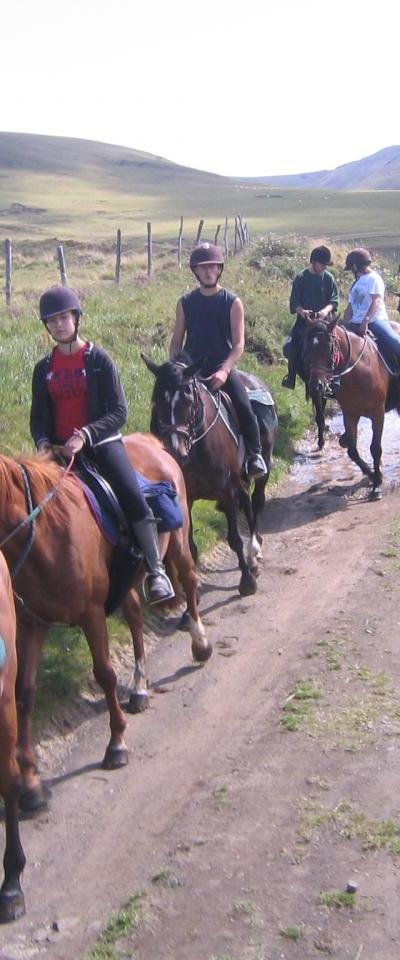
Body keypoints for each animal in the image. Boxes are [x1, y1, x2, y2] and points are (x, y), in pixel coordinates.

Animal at [0, 438, 211, 812]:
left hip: (179, 543)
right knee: (136, 616)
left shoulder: (91, 615)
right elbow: (24, 694)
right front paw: (31, 784)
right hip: (126, 581)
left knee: (188, 581)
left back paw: (200, 644)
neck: (42, 533)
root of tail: (153, 442)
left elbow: (105, 675)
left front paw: (116, 745)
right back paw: (140, 689)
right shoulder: (32, 625)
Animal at [143, 352, 278, 592]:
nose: (174, 450)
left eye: (188, 400)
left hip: (262, 469)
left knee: (256, 502)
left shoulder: (227, 491)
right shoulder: (186, 498)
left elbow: (234, 539)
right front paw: (193, 586)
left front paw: (247, 581)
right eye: (157, 401)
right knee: (247, 504)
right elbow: (191, 547)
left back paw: (254, 553)